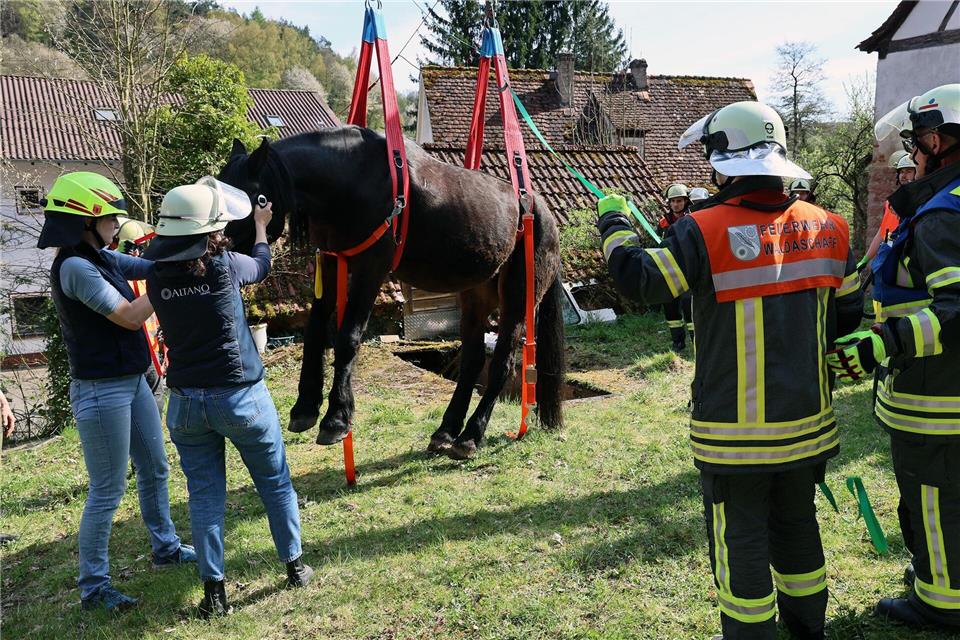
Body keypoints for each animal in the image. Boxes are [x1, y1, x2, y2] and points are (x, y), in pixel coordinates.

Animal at [219, 125, 565, 460]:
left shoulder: (371, 267)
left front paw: (336, 418)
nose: (216, 246)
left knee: (503, 362)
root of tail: (540, 210)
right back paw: (446, 432)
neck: (350, 179)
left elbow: (348, 338)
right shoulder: (330, 262)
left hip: (518, 298)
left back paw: (471, 436)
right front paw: (305, 406)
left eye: (244, 199)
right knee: (472, 361)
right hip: (475, 296)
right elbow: (315, 331)